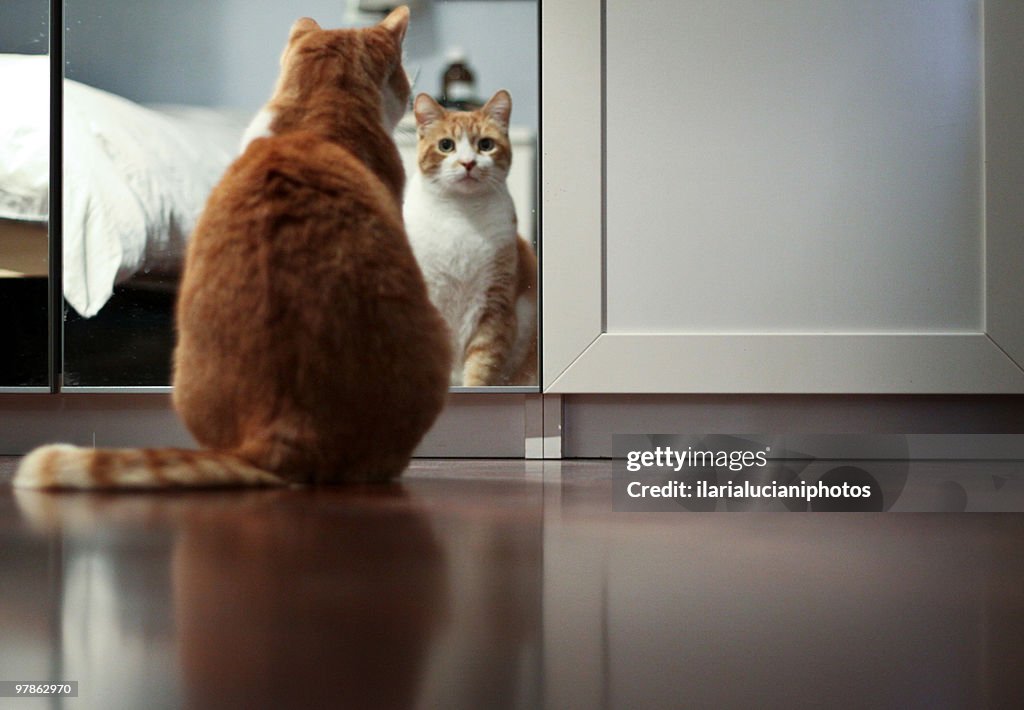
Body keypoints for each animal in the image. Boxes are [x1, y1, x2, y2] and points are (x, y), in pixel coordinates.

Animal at [403, 92, 540, 387]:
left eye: (485, 145)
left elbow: (481, 366)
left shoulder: (495, 306)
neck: (461, 215)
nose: (468, 163)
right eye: (446, 145)